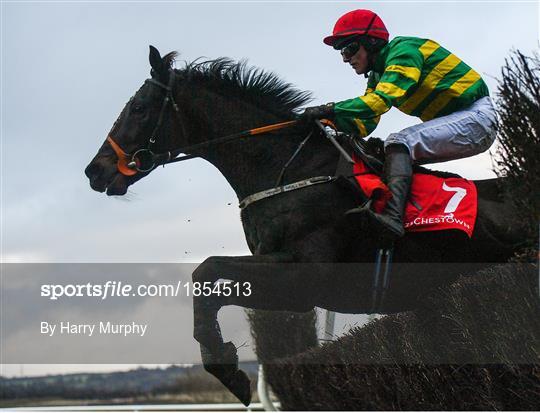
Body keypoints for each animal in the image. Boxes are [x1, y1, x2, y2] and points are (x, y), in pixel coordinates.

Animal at [84, 46, 524, 404]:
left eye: (138, 108)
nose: (95, 171)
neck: (289, 169)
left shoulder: (305, 273)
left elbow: (207, 269)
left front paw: (224, 365)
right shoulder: (294, 289)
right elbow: (211, 283)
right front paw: (226, 364)